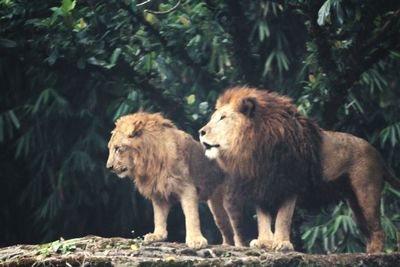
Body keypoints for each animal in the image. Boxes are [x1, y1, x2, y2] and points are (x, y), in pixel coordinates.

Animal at [106, 112, 234, 249]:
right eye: (111, 148)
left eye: (118, 148)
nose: (108, 167)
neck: (150, 160)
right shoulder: (158, 191)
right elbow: (159, 216)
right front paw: (157, 235)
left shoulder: (187, 187)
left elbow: (191, 215)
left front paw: (195, 240)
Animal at [199, 86, 400, 253]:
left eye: (223, 118)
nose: (200, 132)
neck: (253, 146)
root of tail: (376, 152)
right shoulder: (261, 186)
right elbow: (263, 220)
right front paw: (263, 242)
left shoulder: (290, 183)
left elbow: (283, 217)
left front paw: (282, 244)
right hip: (354, 204)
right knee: (369, 230)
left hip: (366, 192)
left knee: (378, 229)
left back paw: (375, 254)